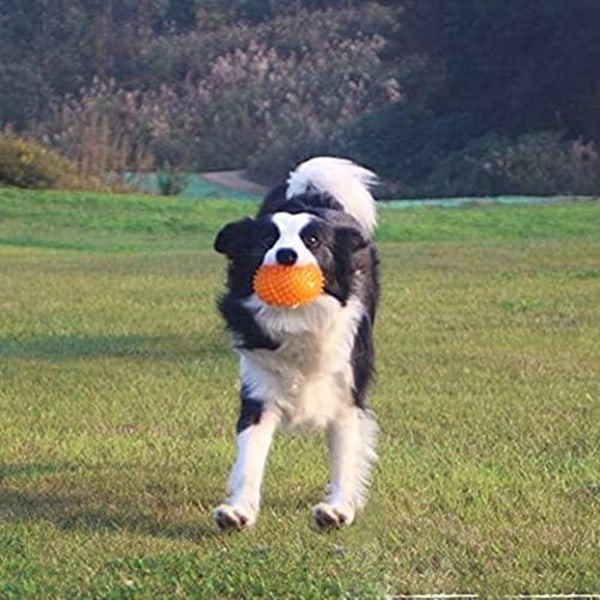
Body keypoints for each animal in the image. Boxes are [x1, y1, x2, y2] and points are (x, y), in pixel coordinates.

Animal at [213, 156, 378, 528]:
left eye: (313, 240)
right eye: (266, 240)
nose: (286, 255)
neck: (298, 318)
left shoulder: (346, 393)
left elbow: (346, 454)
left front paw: (338, 508)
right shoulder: (258, 392)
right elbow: (250, 456)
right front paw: (239, 510)